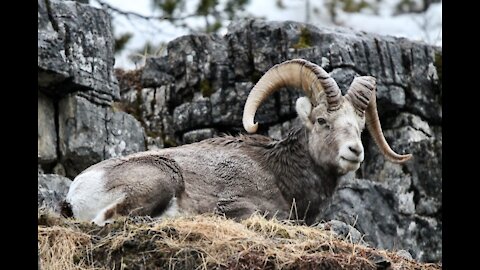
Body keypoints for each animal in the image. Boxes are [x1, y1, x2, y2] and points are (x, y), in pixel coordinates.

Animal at [62, 59, 410, 226]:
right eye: (323, 121)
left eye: (360, 127)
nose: (355, 152)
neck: (281, 175)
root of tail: (76, 191)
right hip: (161, 178)